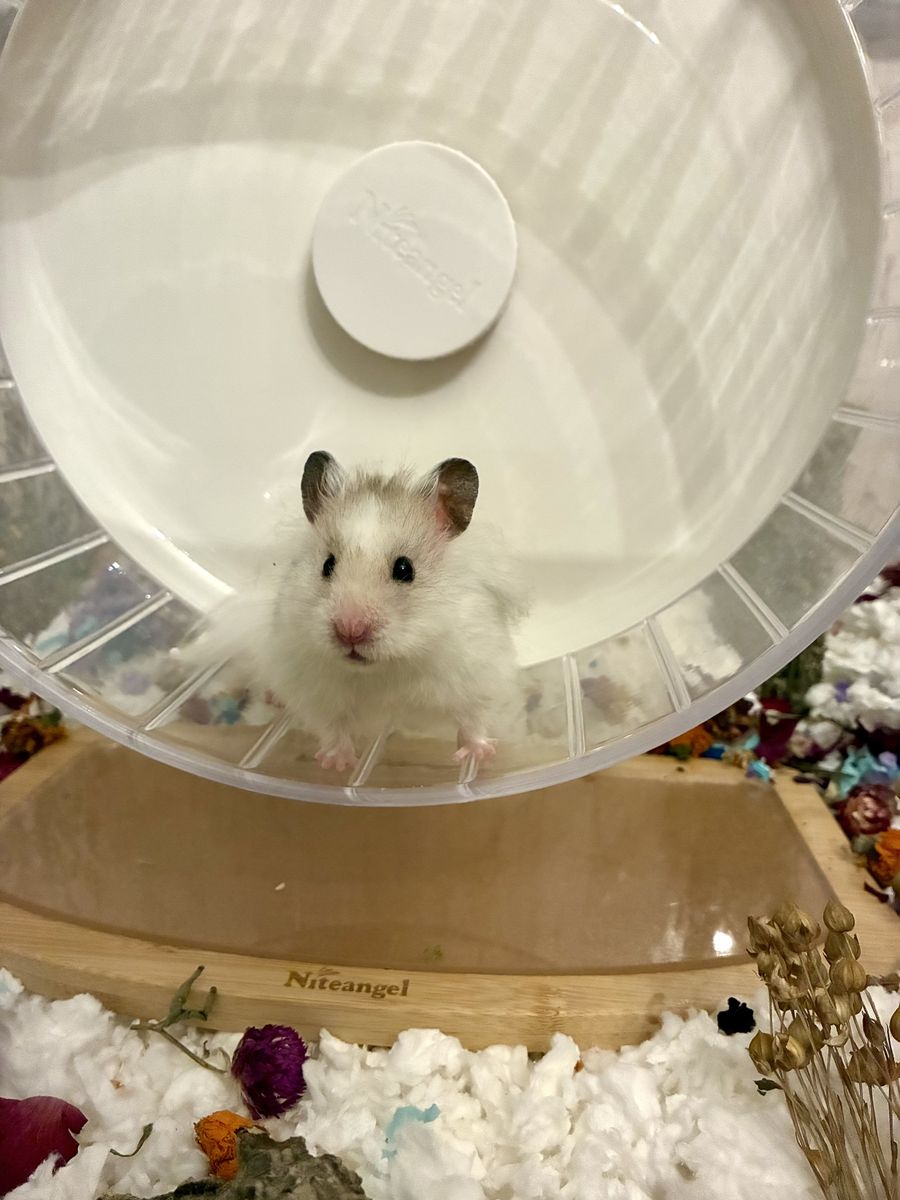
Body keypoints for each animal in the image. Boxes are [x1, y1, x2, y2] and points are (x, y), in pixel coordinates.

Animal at [192, 452, 528, 771]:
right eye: (328, 564)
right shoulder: (316, 691)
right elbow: (333, 727)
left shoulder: (477, 672)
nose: (350, 631)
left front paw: (481, 755)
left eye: (405, 569)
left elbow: (474, 719)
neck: (386, 667)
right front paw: (336, 764)